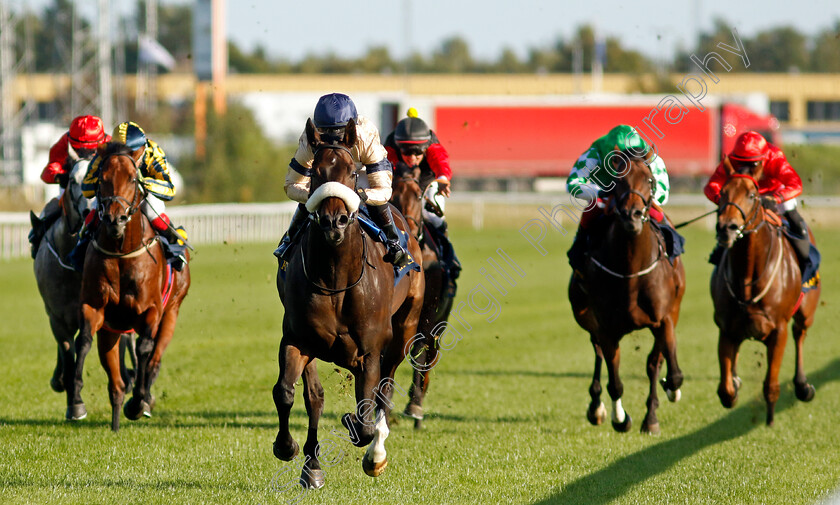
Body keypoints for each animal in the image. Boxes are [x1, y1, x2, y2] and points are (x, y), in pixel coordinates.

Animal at [69, 142, 191, 430]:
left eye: (133, 179)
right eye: (102, 179)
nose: (116, 219)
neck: (121, 252)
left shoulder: (152, 310)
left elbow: (145, 349)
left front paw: (139, 401)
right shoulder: (94, 307)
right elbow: (83, 342)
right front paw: (77, 400)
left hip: (172, 312)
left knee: (154, 358)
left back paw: (142, 399)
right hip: (112, 331)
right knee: (115, 381)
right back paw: (116, 417)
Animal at [272, 118, 424, 488]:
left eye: (353, 172)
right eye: (315, 172)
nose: (333, 221)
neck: (336, 280)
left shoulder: (369, 350)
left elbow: (367, 415)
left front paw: (361, 434)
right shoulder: (296, 339)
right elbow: (287, 392)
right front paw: (288, 448)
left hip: (404, 329)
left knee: (385, 390)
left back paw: (375, 455)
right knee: (314, 397)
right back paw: (312, 465)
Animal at [568, 151, 684, 434]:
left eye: (650, 180)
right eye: (618, 180)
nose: (632, 214)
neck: (631, 272)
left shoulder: (664, 319)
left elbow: (671, 373)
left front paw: (668, 391)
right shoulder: (606, 327)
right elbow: (615, 382)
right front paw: (620, 418)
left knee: (654, 363)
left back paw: (652, 415)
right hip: (587, 317)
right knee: (599, 354)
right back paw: (596, 408)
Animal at [708, 158, 820, 426]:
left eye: (752, 195)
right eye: (722, 193)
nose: (727, 228)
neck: (747, 276)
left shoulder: (777, 330)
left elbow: (771, 384)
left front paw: (769, 421)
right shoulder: (726, 328)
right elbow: (726, 391)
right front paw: (733, 385)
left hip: (806, 311)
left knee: (800, 334)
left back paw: (803, 386)